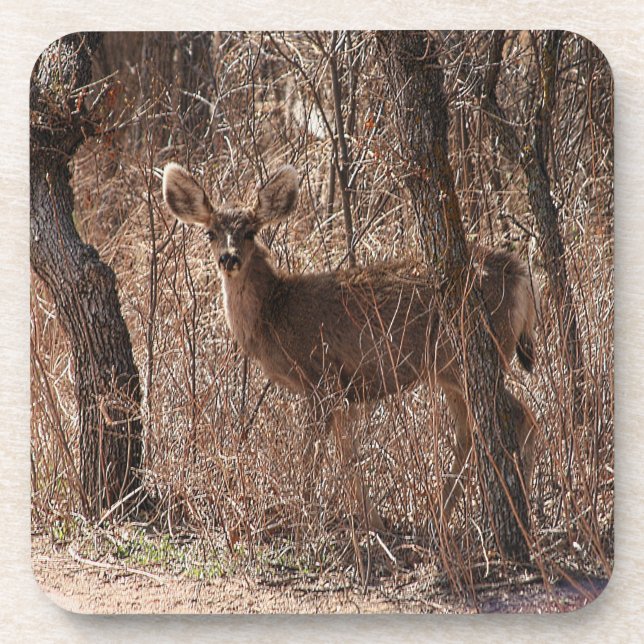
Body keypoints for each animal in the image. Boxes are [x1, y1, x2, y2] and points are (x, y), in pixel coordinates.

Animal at [162, 161, 539, 533]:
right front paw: (372, 521)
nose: (229, 258)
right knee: (470, 433)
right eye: (210, 232)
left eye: (251, 232)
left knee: (521, 416)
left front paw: (301, 510)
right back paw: (441, 517)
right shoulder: (343, 390)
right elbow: (349, 455)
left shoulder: (321, 376)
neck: (275, 314)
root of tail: (520, 273)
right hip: (449, 369)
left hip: (467, 353)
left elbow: (312, 453)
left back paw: (517, 510)